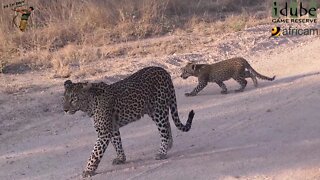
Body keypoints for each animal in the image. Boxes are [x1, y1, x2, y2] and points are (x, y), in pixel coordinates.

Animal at [61, 66, 194, 177]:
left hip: (158, 110)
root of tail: (164, 71)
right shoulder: (113, 128)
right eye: (64, 98)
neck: (89, 105)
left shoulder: (104, 133)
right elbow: (117, 143)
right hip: (153, 110)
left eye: (73, 99)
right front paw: (121, 159)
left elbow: (95, 153)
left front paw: (88, 170)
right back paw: (169, 145)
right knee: (167, 125)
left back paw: (162, 152)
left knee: (164, 131)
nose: (65, 109)